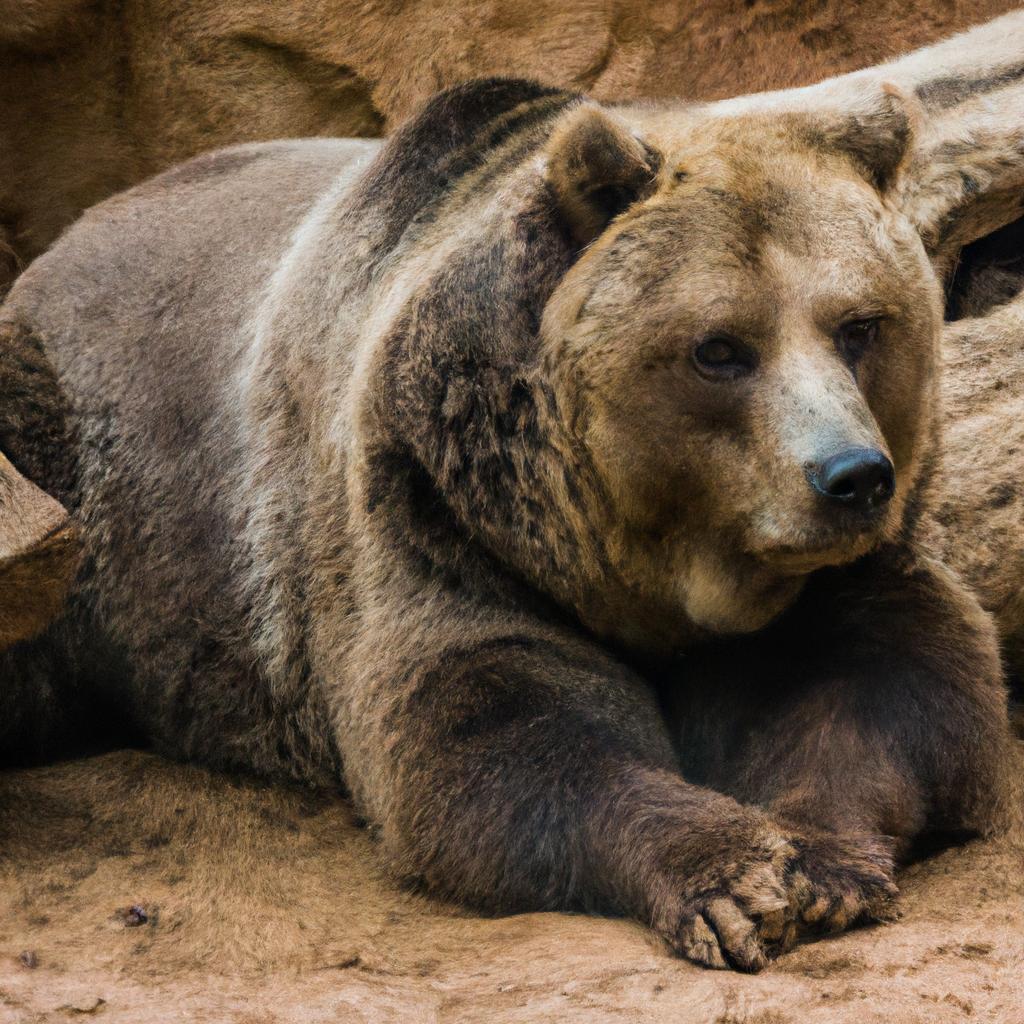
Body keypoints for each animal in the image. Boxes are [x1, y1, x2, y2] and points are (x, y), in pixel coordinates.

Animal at [0, 72, 1022, 972]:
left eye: (860, 325)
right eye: (721, 349)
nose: (850, 477)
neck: (652, 569)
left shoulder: (834, 571)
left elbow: (896, 682)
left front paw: (819, 863)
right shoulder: (436, 519)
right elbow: (487, 728)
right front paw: (732, 877)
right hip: (76, 474)